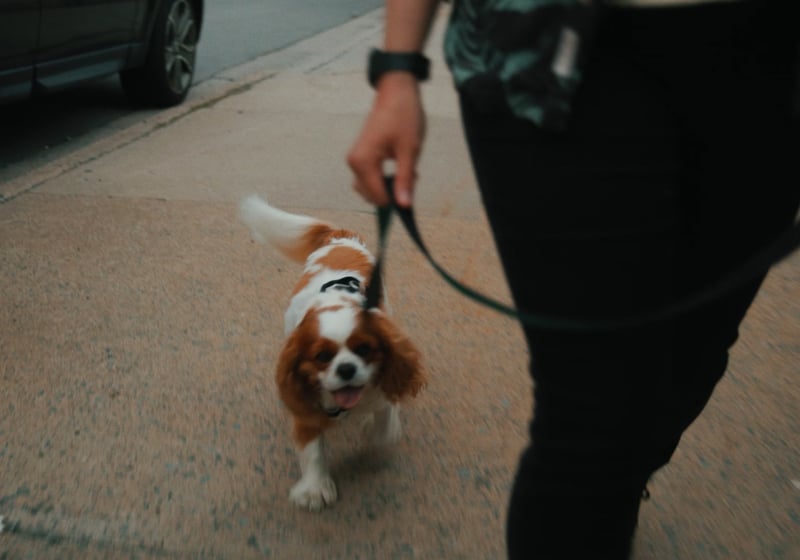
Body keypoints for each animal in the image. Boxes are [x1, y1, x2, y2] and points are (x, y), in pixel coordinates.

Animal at [238, 195, 424, 510]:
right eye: (322, 357)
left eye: (364, 349)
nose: (346, 369)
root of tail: (339, 237)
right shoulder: (305, 404)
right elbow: (312, 451)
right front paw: (315, 488)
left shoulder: (384, 387)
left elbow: (384, 424)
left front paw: (374, 431)